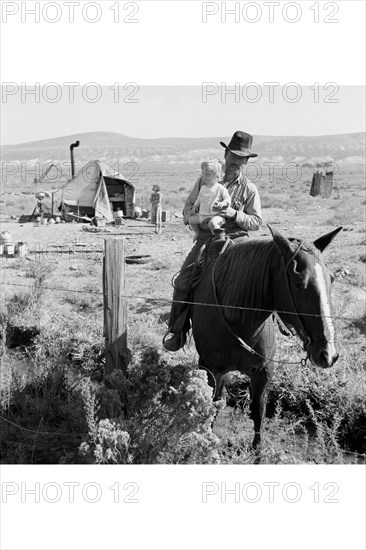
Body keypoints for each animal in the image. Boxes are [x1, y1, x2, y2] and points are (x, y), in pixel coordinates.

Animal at [190, 226, 342, 450]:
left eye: (331, 279)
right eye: (298, 284)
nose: (329, 354)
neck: (240, 321)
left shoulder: (264, 371)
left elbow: (258, 411)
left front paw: (257, 450)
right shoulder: (210, 369)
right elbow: (211, 403)